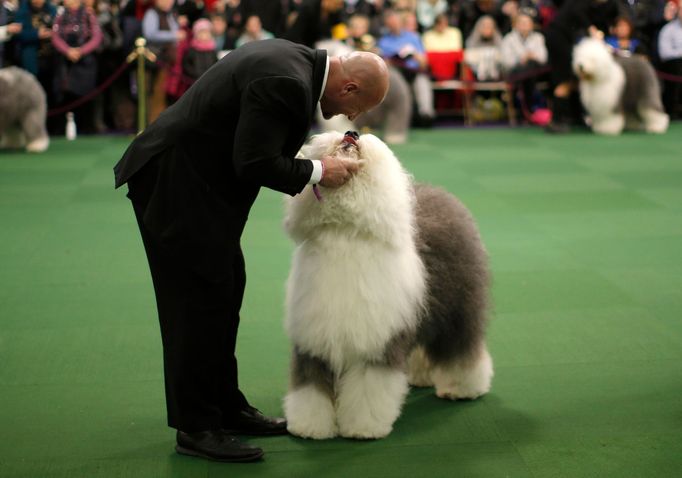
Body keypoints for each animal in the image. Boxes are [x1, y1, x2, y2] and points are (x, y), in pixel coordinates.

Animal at [278, 132, 492, 440]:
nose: (351, 134)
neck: (344, 231)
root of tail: (444, 195)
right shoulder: (314, 339)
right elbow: (310, 388)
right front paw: (310, 427)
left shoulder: (378, 342)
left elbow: (369, 389)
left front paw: (363, 428)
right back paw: (421, 377)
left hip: (457, 308)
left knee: (461, 347)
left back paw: (463, 388)